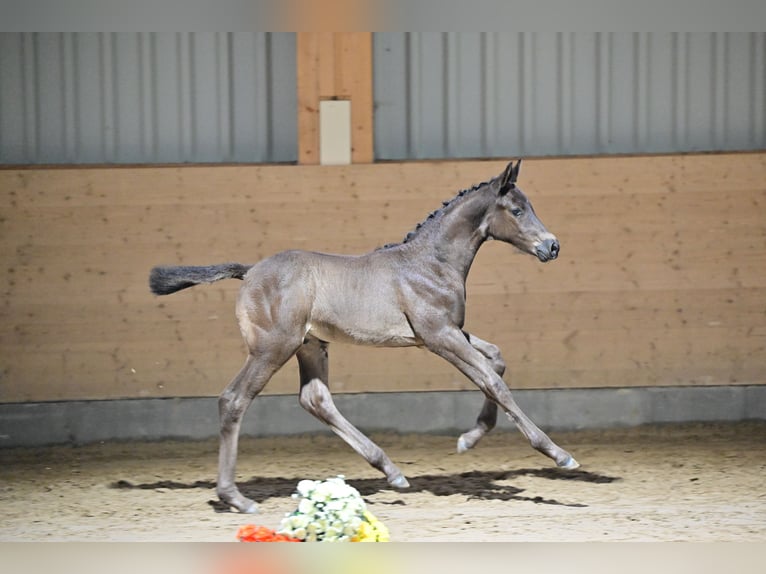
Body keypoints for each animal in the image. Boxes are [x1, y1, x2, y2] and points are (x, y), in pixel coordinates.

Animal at [152, 160, 584, 516]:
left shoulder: (448, 332)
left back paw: (391, 471)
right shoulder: (439, 336)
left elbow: (496, 359)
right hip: (272, 348)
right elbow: (493, 381)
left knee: (315, 399)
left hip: (310, 346)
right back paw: (236, 498)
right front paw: (558, 454)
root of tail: (250, 270)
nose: (553, 246)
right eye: (517, 210)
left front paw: (469, 438)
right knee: (234, 399)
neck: (430, 263)